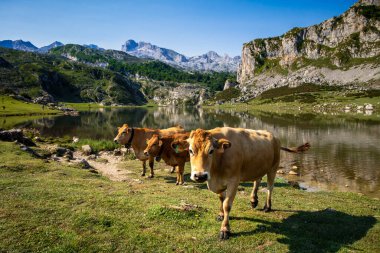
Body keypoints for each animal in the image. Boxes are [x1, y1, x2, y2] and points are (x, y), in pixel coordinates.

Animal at [174, 127, 310, 240]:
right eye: (190, 151)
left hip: (273, 167)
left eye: (211, 151)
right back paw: (253, 200)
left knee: (270, 187)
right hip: (258, 167)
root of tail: (274, 136)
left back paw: (267, 206)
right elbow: (221, 199)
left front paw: (225, 229)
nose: (200, 175)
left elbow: (227, 205)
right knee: (257, 181)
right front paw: (221, 214)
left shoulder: (234, 181)